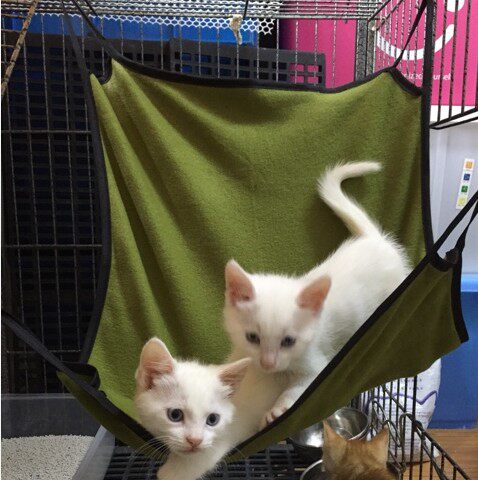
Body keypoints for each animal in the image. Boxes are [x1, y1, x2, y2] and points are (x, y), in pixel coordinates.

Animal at [135, 337, 285, 480]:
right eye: (175, 415)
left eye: (212, 419)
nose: (195, 441)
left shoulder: (230, 433)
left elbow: (202, 458)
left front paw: (170, 472)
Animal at [224, 162, 410, 426]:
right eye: (252, 338)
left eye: (288, 341)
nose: (268, 363)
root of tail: (374, 239)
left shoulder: (316, 366)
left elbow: (296, 389)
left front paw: (277, 409)